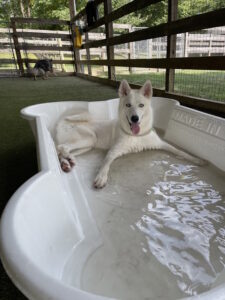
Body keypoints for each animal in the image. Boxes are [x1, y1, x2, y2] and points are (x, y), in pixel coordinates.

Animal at [55, 79, 202, 188]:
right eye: (128, 105)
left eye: (141, 105)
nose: (134, 118)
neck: (136, 136)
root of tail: (62, 121)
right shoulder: (113, 151)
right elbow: (105, 164)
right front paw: (101, 177)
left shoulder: (161, 144)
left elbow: (179, 150)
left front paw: (196, 159)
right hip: (90, 139)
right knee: (61, 147)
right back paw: (68, 159)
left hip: (88, 146)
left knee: (60, 152)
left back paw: (66, 163)